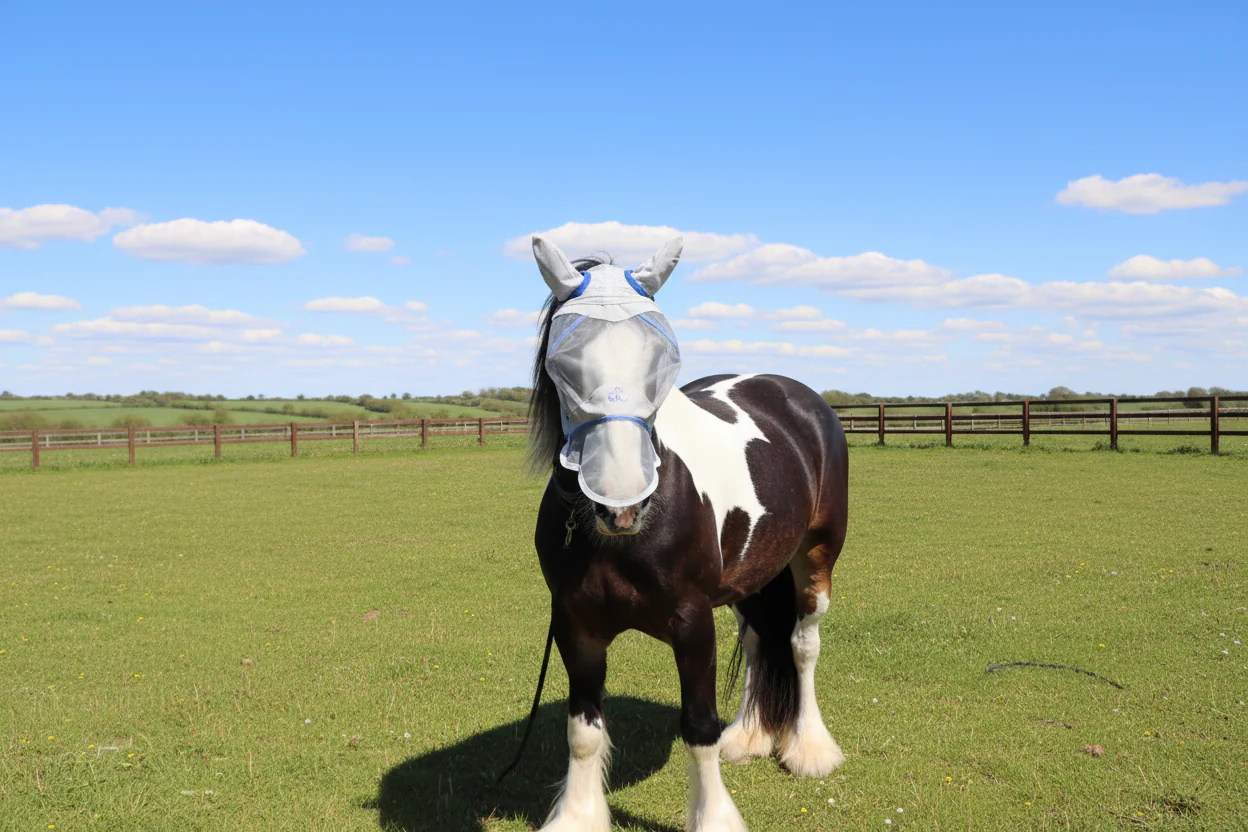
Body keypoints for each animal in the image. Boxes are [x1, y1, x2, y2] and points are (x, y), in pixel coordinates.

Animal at [518, 234, 849, 831]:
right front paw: (579, 816)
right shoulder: (576, 626)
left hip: (816, 558)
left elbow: (698, 727)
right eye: (562, 361)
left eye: (664, 357)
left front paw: (714, 817)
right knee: (760, 639)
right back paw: (750, 738)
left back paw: (810, 748)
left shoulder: (692, 624)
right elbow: (583, 733)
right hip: (750, 578)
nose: (622, 503)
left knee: (802, 644)